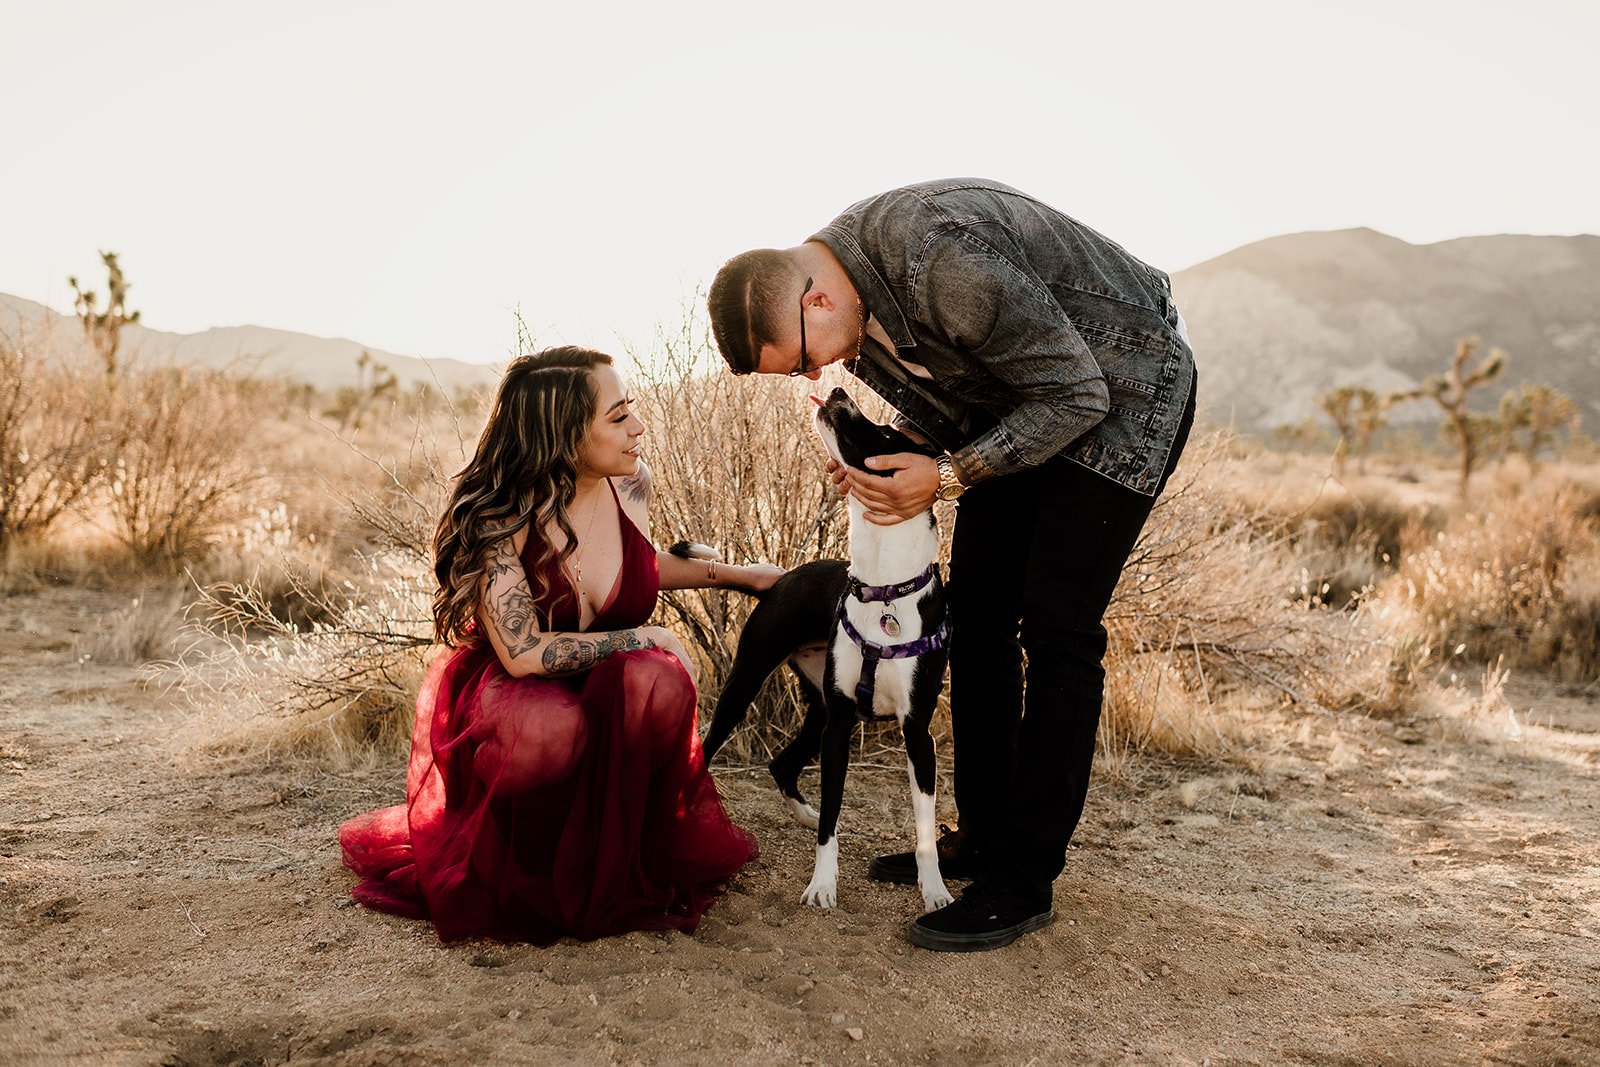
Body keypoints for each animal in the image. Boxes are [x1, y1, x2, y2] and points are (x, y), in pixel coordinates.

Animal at [697, 388, 947, 915]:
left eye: (887, 434)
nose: (837, 391)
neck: (883, 590)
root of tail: (780, 579)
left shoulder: (915, 731)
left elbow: (924, 832)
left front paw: (935, 889)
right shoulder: (839, 728)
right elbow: (833, 815)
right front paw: (822, 885)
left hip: (816, 710)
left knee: (781, 764)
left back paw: (803, 815)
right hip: (748, 684)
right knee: (708, 750)